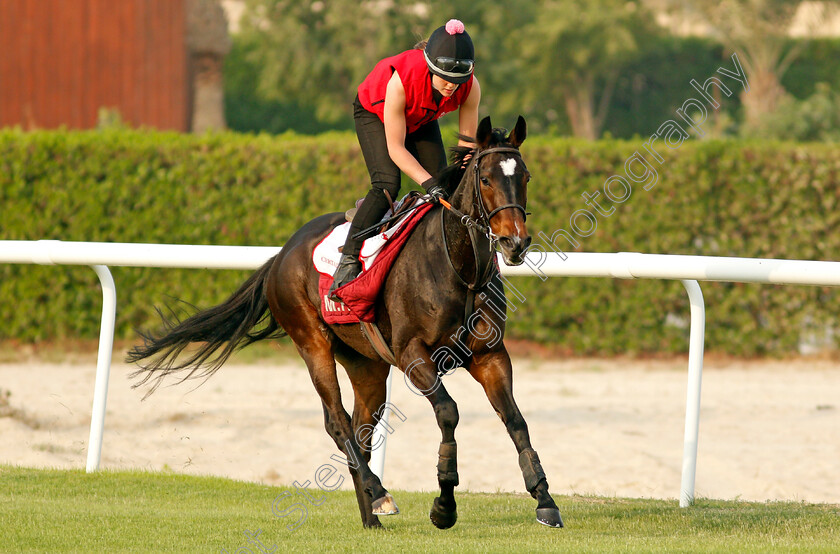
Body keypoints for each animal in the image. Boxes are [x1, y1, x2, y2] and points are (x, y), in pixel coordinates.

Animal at [128, 114, 564, 528]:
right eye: (486, 179)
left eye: (524, 177)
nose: (515, 243)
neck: (459, 266)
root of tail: (281, 255)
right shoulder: (413, 355)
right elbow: (448, 413)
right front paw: (444, 505)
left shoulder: (490, 355)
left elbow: (515, 420)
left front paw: (544, 499)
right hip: (312, 342)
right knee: (337, 423)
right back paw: (379, 493)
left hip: (366, 365)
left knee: (360, 430)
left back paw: (371, 514)